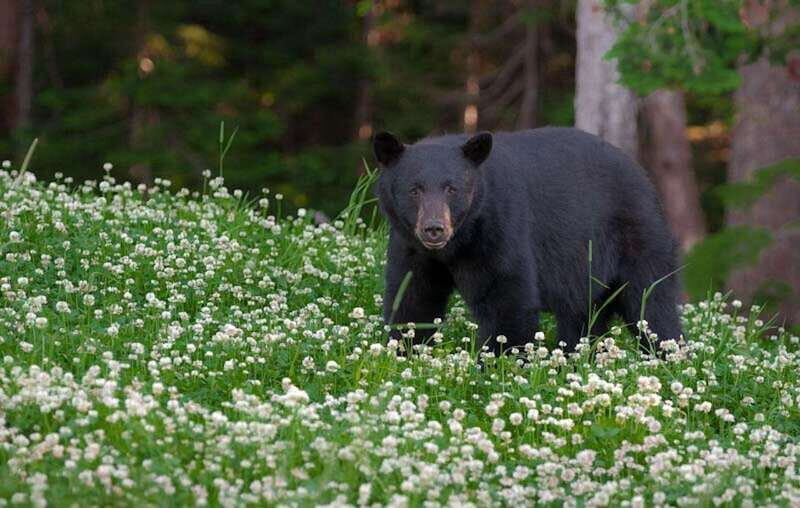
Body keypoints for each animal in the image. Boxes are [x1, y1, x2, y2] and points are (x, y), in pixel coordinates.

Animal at [373, 127, 684, 356]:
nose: (434, 229)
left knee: (652, 306)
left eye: (452, 188)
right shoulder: (411, 248)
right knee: (582, 319)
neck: (456, 245)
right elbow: (412, 300)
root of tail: (643, 175)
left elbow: (507, 300)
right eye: (414, 190)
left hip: (636, 238)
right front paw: (404, 351)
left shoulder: (500, 229)